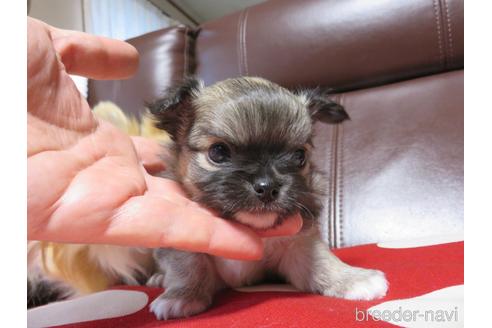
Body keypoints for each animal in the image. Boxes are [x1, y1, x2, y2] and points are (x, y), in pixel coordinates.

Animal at [146, 75, 388, 320]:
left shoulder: (298, 245)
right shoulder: (180, 244)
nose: (268, 186)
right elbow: (188, 264)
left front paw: (352, 278)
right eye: (218, 152)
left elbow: (321, 261)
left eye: (299, 156)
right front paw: (182, 296)